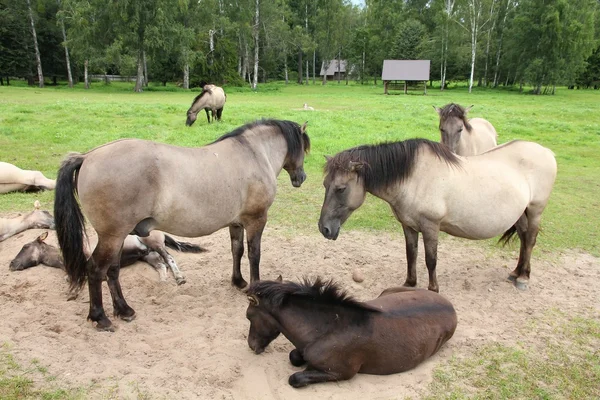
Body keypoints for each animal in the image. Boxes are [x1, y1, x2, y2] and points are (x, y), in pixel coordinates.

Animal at [54, 119, 312, 332]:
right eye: (304, 150)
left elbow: (236, 250)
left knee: (112, 271)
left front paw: (238, 281)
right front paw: (254, 287)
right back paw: (100, 317)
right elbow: (254, 254)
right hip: (112, 236)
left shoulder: (237, 223)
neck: (253, 154)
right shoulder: (256, 220)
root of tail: (87, 156)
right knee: (96, 270)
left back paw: (124, 310)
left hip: (118, 237)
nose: (301, 177)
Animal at [246, 278, 458, 388]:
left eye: (249, 316)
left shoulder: (342, 372)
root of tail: (450, 305)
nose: (251, 346)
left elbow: (296, 378)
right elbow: (294, 356)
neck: (330, 329)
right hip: (386, 292)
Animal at [318, 139, 556, 292]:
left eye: (340, 188)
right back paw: (516, 273)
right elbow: (411, 254)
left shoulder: (431, 226)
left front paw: (433, 289)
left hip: (535, 210)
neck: (413, 177)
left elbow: (430, 259)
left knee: (530, 240)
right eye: (325, 184)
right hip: (521, 213)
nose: (324, 228)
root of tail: (547, 151)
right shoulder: (409, 225)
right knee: (524, 238)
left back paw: (523, 278)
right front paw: (409, 284)